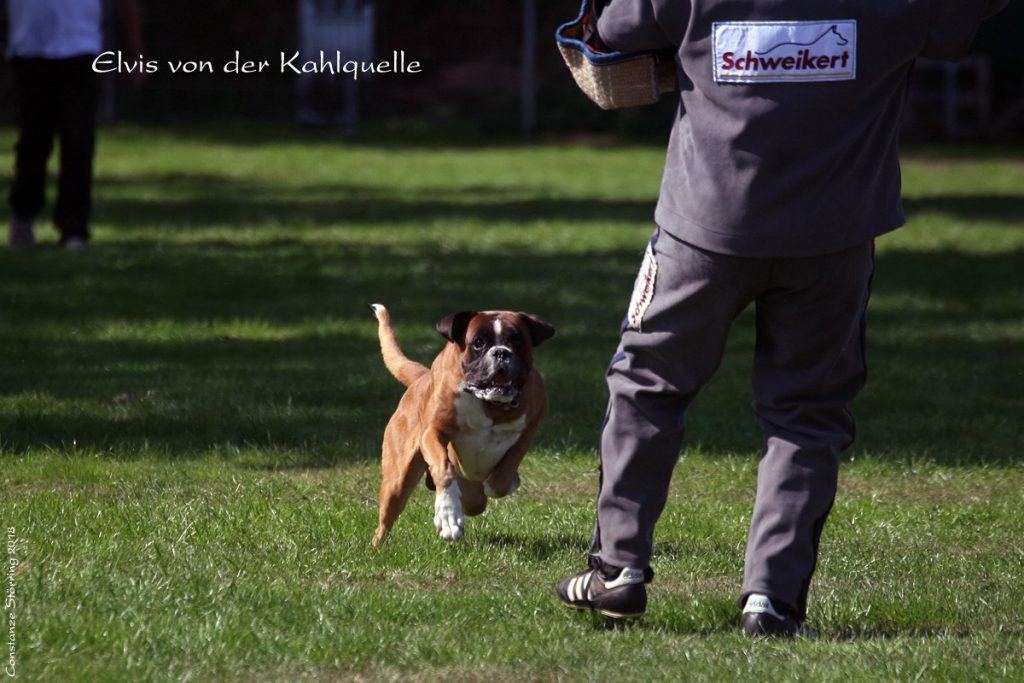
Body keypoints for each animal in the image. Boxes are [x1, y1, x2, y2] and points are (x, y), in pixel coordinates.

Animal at [370, 307, 557, 548]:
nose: (501, 352)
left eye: (517, 340)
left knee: (476, 498)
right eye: (478, 343)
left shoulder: (530, 427)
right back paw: (378, 546)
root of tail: (421, 378)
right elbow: (444, 469)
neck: (489, 404)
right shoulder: (433, 433)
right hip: (397, 482)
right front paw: (448, 515)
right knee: (387, 518)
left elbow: (500, 478)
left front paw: (507, 481)